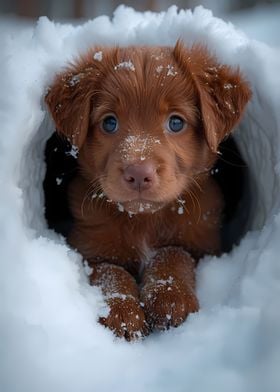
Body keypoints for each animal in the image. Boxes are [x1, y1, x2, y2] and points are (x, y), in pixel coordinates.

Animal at [46, 40, 252, 340]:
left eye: (176, 122)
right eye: (109, 122)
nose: (139, 173)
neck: (144, 221)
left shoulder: (203, 245)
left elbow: (174, 253)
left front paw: (170, 298)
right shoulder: (89, 249)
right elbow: (110, 272)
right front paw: (121, 313)